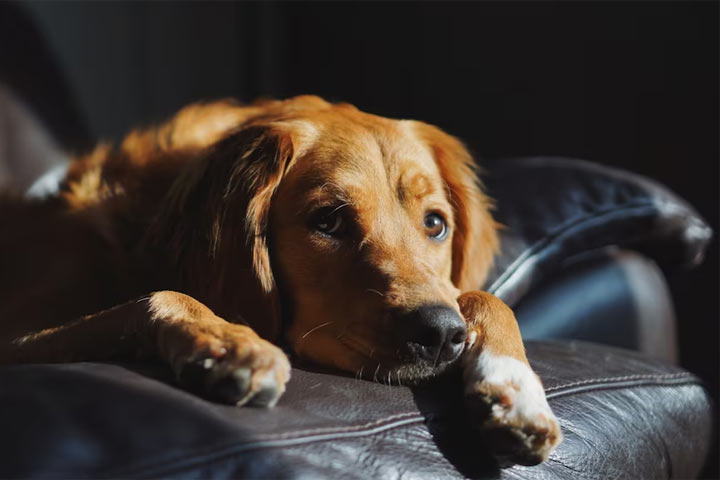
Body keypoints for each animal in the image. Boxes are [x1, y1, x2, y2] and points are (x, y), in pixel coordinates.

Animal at [0, 94, 564, 464]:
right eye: (328, 221)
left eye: (435, 224)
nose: (443, 335)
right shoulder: (17, 339)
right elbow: (160, 295)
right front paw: (231, 344)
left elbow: (485, 297)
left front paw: (515, 390)